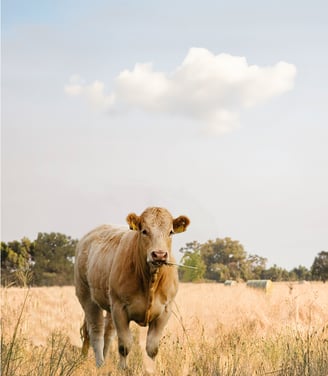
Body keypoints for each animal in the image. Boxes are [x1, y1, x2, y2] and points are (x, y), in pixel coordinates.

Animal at [74, 207, 190, 372]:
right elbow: (125, 345)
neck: (150, 281)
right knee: (96, 332)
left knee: (108, 333)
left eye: (171, 232)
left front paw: (152, 370)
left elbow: (152, 348)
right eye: (144, 231)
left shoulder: (165, 310)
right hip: (87, 297)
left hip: (109, 304)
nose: (159, 254)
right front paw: (122, 369)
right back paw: (100, 364)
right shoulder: (119, 308)